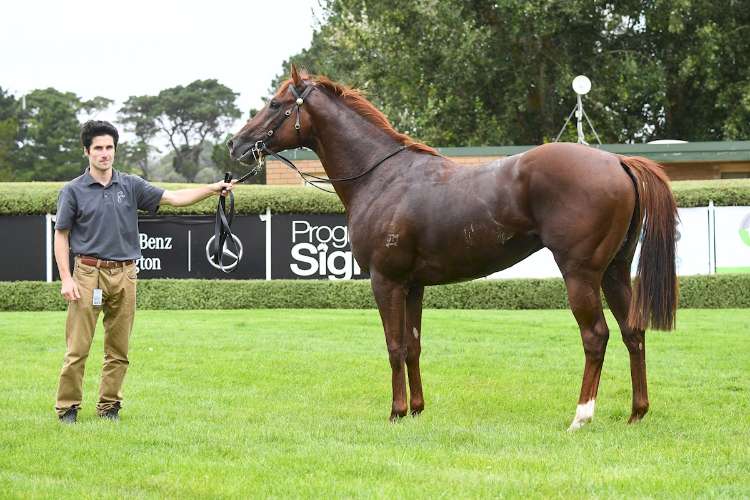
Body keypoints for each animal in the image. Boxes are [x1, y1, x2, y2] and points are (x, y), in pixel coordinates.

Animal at [228, 65, 678, 430]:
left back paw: (581, 416)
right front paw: (416, 409)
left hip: (581, 274)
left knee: (595, 335)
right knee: (632, 331)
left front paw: (395, 412)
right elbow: (412, 346)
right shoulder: (412, 286)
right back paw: (637, 412)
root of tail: (617, 161)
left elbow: (393, 346)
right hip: (615, 271)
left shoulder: (385, 281)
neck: (382, 176)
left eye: (275, 103)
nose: (236, 144)